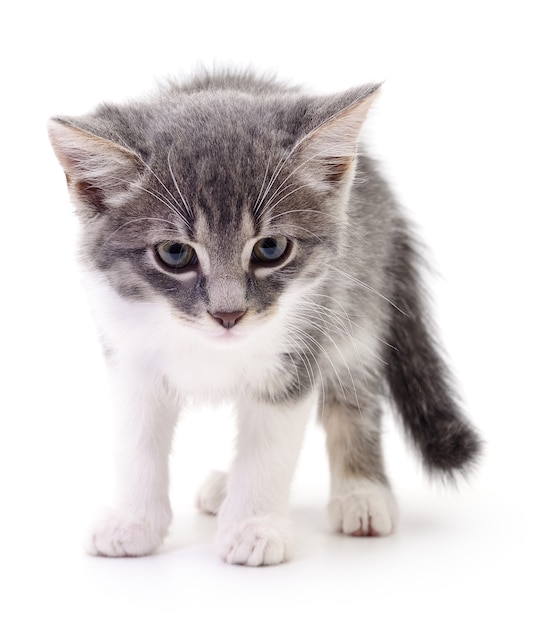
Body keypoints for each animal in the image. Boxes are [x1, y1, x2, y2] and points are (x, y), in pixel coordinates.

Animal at [48, 70, 482, 564]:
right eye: (175, 253)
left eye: (270, 248)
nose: (228, 313)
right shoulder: (128, 349)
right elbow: (137, 441)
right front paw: (132, 522)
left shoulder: (300, 345)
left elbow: (268, 448)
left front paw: (254, 527)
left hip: (356, 307)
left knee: (354, 398)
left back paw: (361, 494)